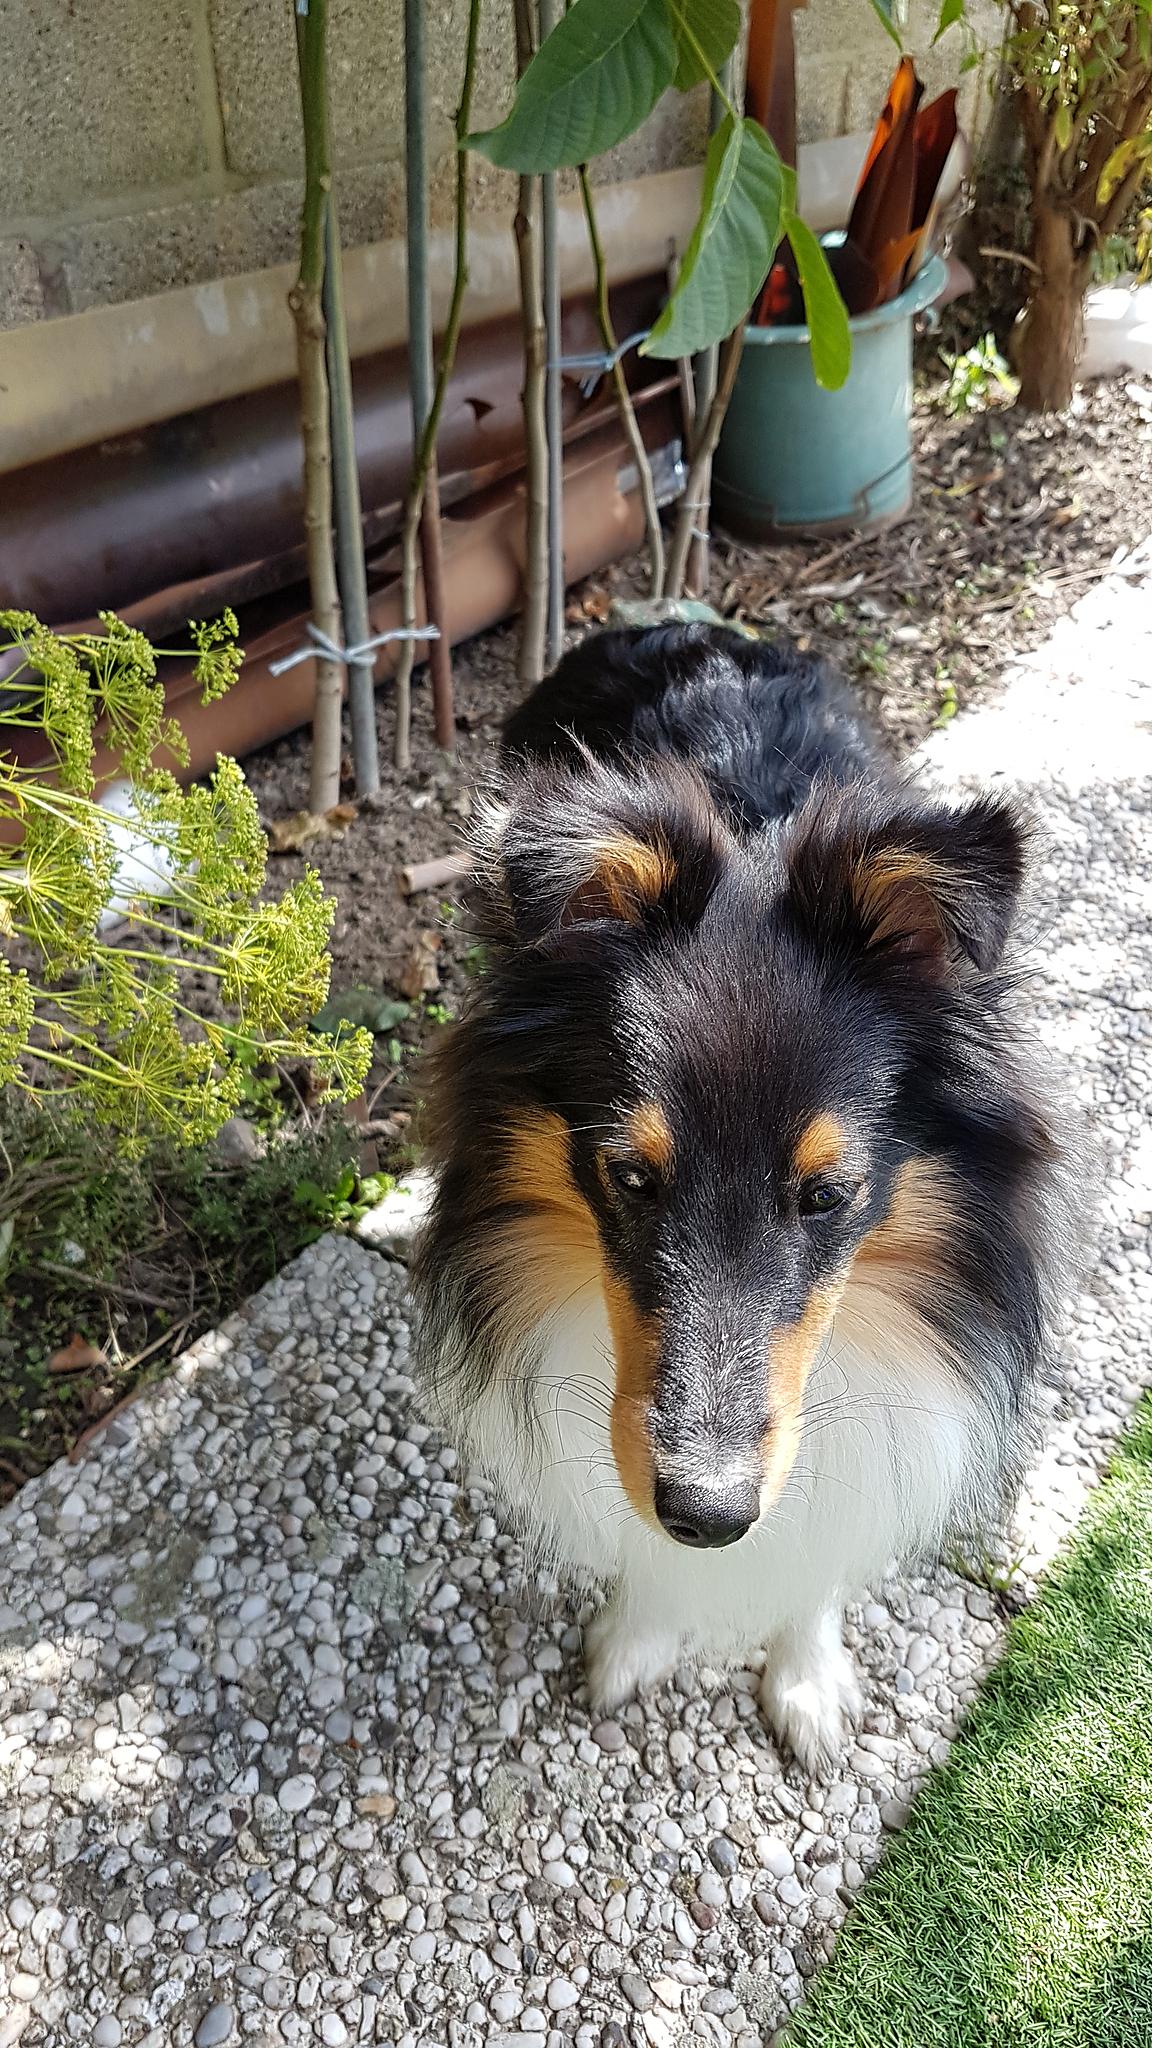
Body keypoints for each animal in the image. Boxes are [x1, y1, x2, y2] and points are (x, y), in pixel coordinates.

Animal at [409, 622, 1065, 1777]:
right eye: (630, 1174)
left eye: (829, 1192)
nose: (708, 1514)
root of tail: (666, 617)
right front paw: (640, 1635)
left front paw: (806, 1681)